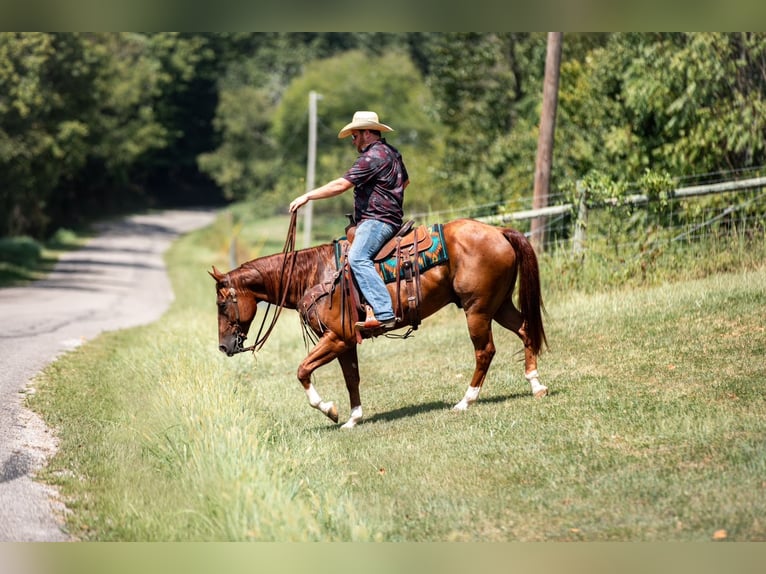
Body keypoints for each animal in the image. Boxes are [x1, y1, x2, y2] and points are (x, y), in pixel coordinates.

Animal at [210, 217, 548, 429]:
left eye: (222, 304)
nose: (224, 346)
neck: (316, 274)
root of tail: (499, 231)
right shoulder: (346, 342)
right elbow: (352, 379)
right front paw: (353, 419)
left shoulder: (337, 337)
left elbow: (303, 370)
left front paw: (330, 411)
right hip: (498, 305)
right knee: (525, 330)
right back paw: (535, 384)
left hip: (476, 310)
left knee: (485, 351)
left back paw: (466, 400)